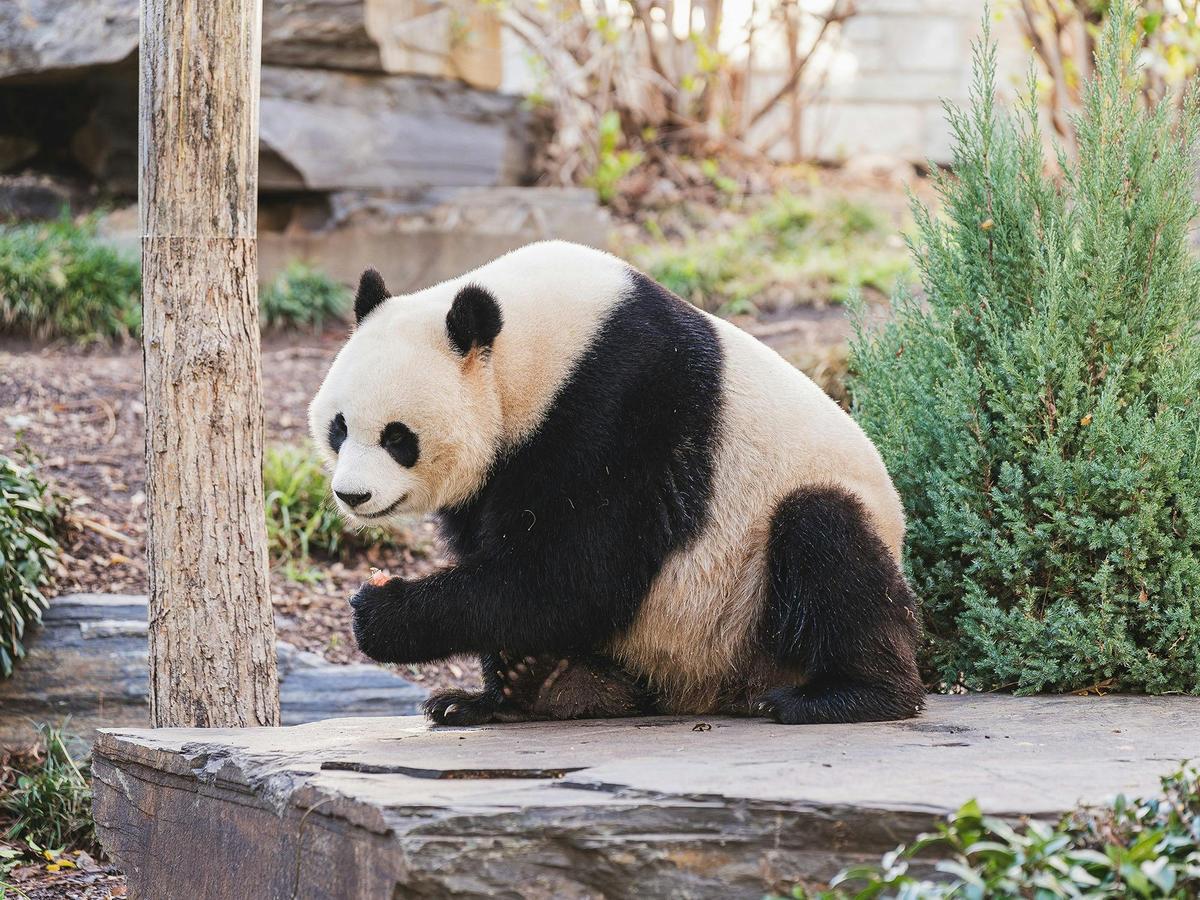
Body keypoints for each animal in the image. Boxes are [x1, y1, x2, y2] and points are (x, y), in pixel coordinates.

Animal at [308, 240, 924, 725]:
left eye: (398, 437)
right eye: (340, 427)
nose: (353, 495)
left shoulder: (619, 405)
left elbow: (575, 572)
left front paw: (381, 612)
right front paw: (484, 693)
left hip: (756, 586)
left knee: (827, 543)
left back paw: (844, 697)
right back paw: (549, 685)